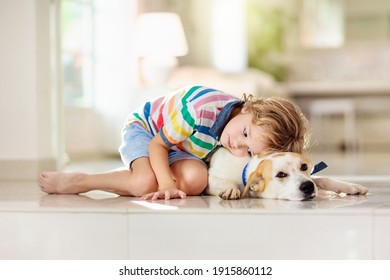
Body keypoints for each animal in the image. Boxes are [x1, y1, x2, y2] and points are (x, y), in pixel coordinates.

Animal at [207, 148, 368, 200]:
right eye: (280, 175)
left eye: (304, 166)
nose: (308, 186)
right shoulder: (211, 179)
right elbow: (224, 181)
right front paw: (231, 189)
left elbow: (323, 179)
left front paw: (349, 186)